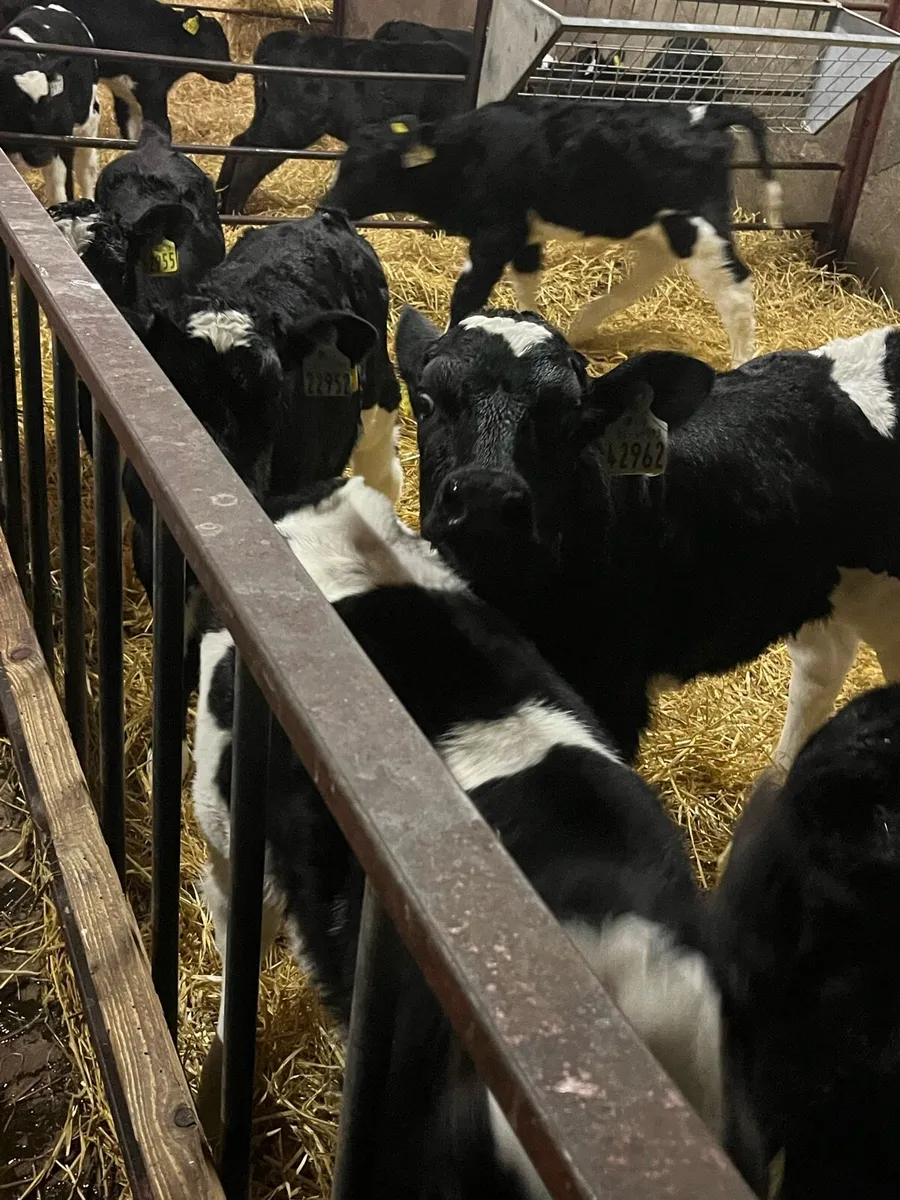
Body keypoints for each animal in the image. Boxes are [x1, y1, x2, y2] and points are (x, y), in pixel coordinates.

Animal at [0, 4, 99, 204]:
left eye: (49, 102)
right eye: (10, 104)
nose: (42, 154)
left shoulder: (60, 139)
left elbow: (61, 191)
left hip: (89, 121)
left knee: (86, 169)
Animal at [325, 99, 782, 367]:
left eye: (376, 168)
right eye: (345, 159)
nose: (328, 206)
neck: (466, 152)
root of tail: (703, 115)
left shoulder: (496, 233)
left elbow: (468, 293)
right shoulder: (524, 236)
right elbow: (527, 285)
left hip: (698, 226)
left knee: (735, 288)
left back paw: (741, 362)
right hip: (664, 227)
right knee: (647, 275)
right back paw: (582, 324)